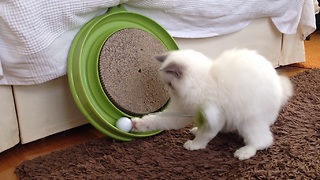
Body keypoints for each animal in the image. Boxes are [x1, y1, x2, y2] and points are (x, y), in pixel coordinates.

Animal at [131, 48, 292, 160]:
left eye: (169, 84)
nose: (167, 90)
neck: (201, 83)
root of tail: (279, 87)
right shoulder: (181, 112)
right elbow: (156, 120)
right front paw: (136, 124)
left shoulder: (212, 116)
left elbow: (204, 136)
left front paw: (194, 145)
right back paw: (196, 129)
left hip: (248, 122)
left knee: (263, 141)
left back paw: (244, 152)